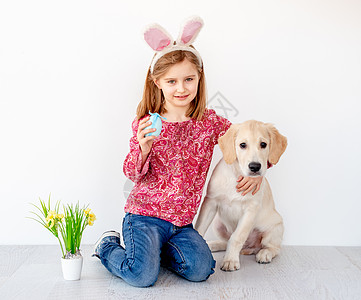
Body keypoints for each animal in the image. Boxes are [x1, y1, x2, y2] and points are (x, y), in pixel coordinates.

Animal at [194, 120, 286, 272]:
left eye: (263, 144)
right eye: (243, 145)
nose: (255, 167)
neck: (238, 175)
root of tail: (249, 248)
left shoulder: (251, 210)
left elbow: (237, 237)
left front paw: (230, 260)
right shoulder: (210, 201)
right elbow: (199, 229)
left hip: (275, 228)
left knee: (274, 248)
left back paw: (265, 253)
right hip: (217, 224)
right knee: (225, 241)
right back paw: (212, 244)